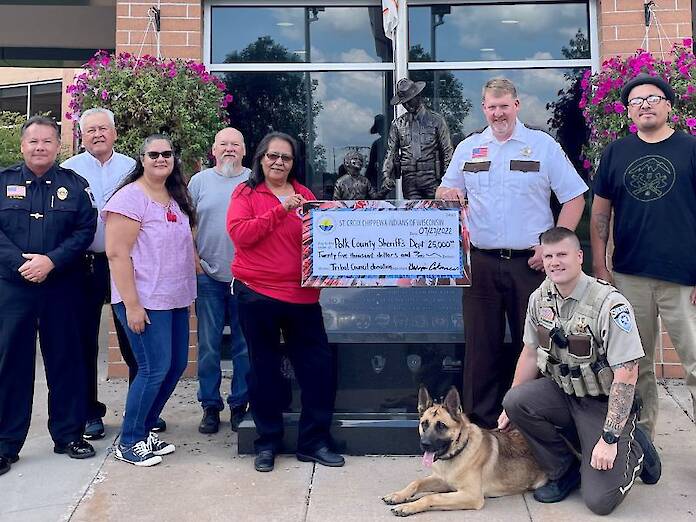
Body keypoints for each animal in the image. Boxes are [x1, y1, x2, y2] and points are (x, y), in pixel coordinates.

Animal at [384, 384, 548, 512]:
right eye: (424, 424)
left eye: (441, 426)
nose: (424, 444)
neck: (459, 452)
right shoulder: (442, 480)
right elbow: (416, 482)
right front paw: (398, 495)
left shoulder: (471, 495)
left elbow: (432, 497)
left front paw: (408, 506)